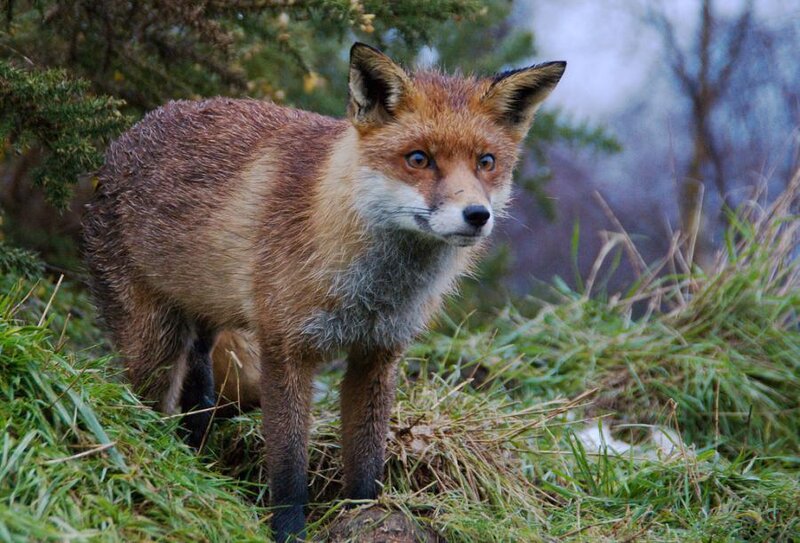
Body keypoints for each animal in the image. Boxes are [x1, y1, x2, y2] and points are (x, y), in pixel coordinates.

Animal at [83, 42, 565, 542]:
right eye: (418, 159)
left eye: (486, 162)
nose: (477, 215)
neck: (372, 292)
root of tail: (124, 139)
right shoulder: (285, 349)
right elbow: (289, 466)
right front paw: (290, 531)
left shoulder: (378, 353)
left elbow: (367, 458)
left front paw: (364, 517)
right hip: (157, 344)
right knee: (149, 402)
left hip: (212, 333)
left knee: (199, 395)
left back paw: (194, 454)